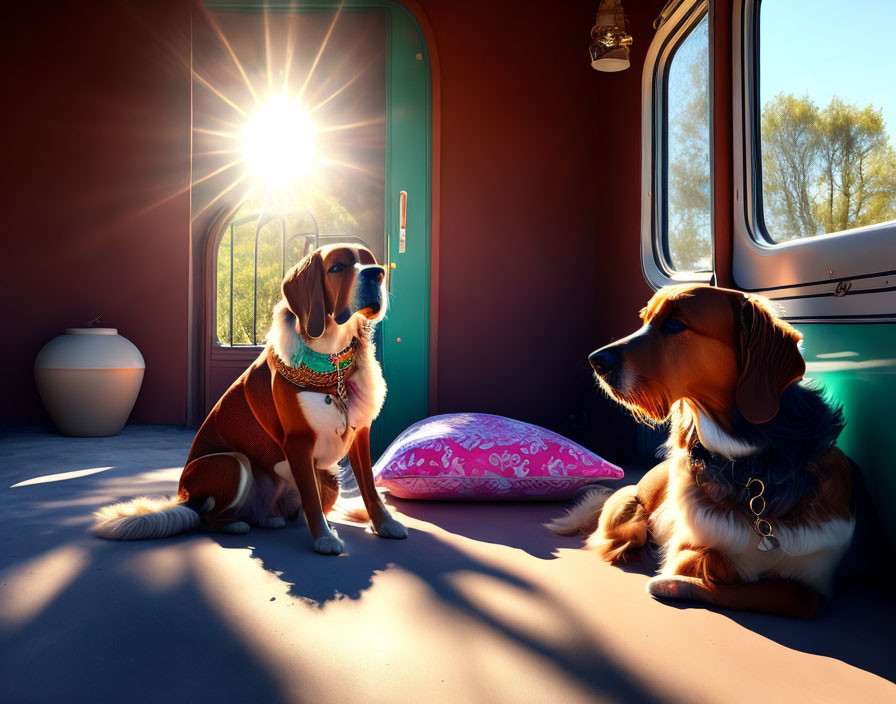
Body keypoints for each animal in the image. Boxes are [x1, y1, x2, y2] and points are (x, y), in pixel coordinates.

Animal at [94, 245, 406, 552]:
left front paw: (385, 524)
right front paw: (325, 539)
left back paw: (271, 519)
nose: (377, 274)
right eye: (337, 267)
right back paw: (235, 525)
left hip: (327, 477)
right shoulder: (298, 441)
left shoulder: (359, 434)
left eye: (370, 261)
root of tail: (183, 497)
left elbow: (368, 487)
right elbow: (312, 499)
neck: (333, 364)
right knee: (206, 517)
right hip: (232, 462)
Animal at [544, 284, 856, 616]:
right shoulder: (688, 546)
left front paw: (674, 583)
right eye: (644, 320)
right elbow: (712, 563)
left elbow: (790, 595)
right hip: (628, 510)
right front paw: (672, 580)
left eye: (674, 324)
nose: (595, 361)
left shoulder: (818, 578)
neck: (746, 464)